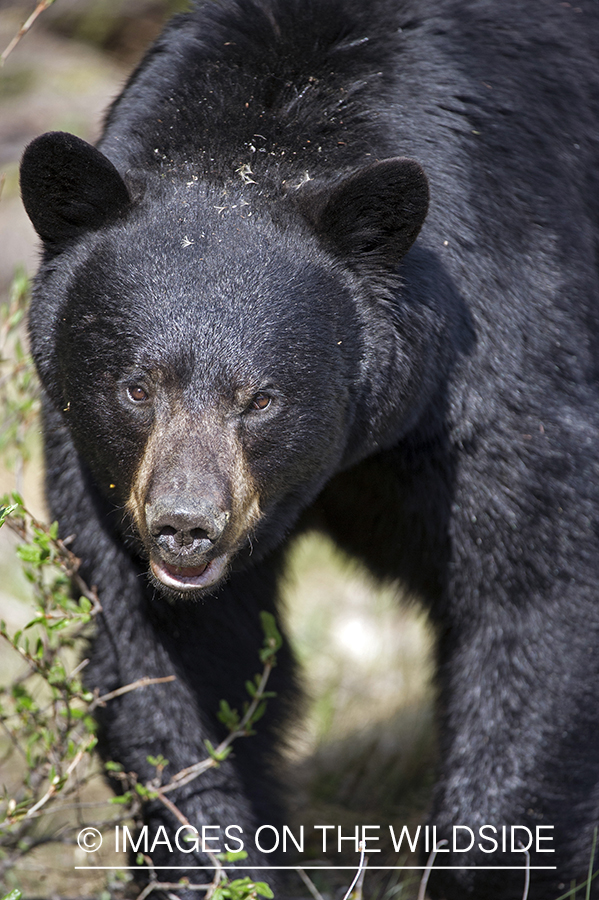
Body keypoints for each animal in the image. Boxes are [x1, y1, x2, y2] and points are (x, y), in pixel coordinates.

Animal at [18, 0, 599, 896]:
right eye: (137, 387)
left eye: (261, 398)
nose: (185, 527)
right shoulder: (96, 460)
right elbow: (166, 652)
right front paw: (219, 866)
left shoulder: (503, 364)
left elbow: (536, 590)